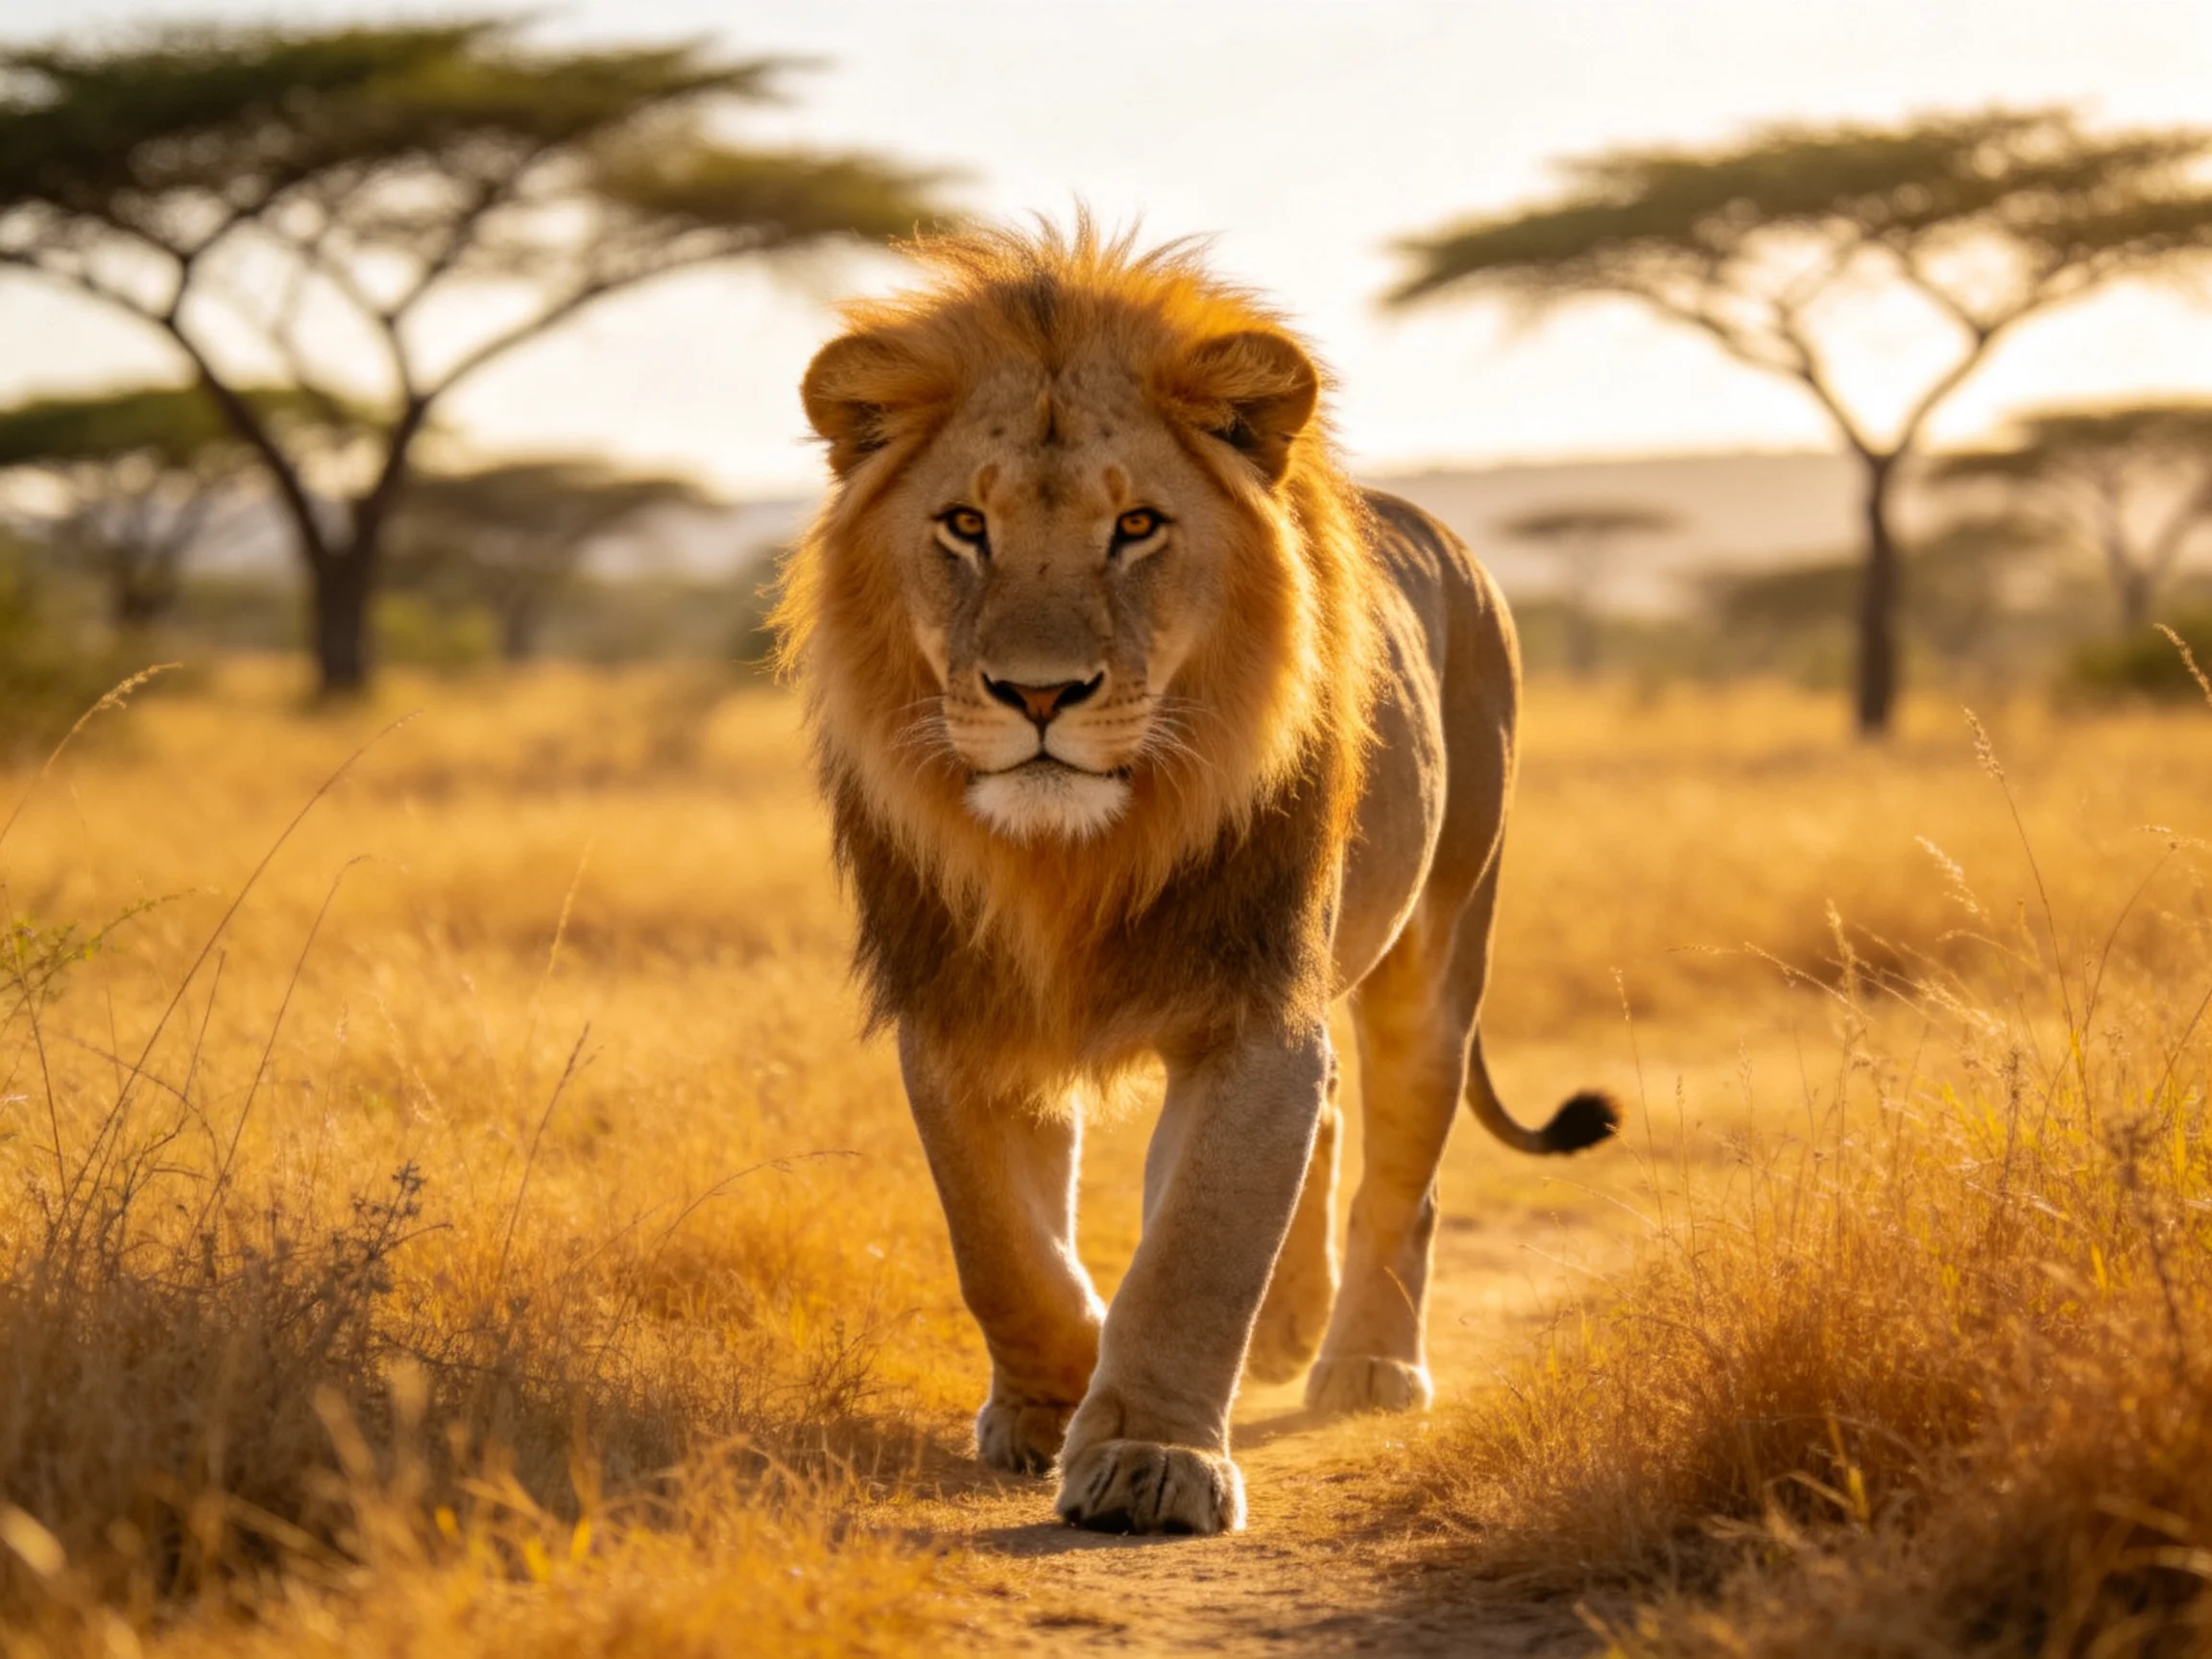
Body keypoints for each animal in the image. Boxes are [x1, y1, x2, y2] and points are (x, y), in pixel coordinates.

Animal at [777, 221, 1618, 1538]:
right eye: (964, 524)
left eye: (1137, 528)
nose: (1038, 694)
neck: (1068, 859)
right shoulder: (960, 1007)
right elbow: (1001, 1247)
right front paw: (1050, 1400)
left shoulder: (1247, 1007)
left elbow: (1196, 1246)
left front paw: (1150, 1457)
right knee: (1334, 1122)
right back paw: (1282, 1334)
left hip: (1440, 943)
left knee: (1404, 1170)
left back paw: (1364, 1364)